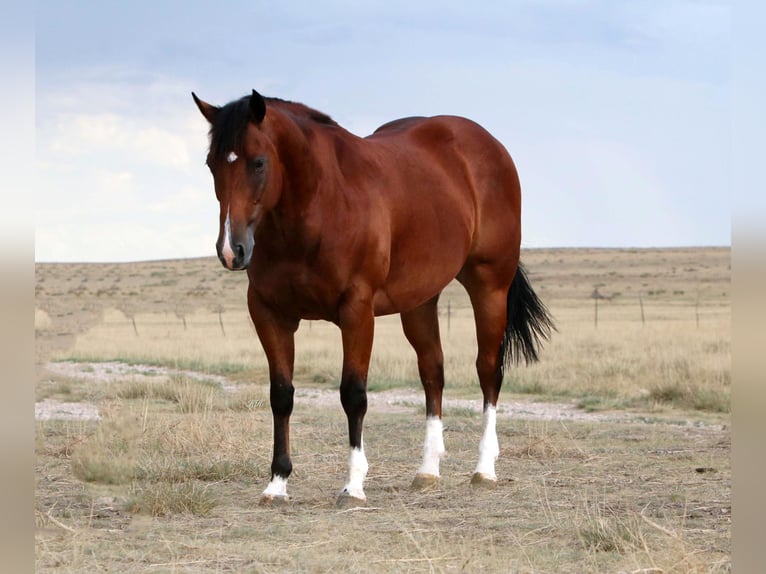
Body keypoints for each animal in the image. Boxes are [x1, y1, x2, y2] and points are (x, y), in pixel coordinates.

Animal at [191, 90, 552, 508]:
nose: (231, 250)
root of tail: (489, 146)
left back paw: (484, 469)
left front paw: (353, 485)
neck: (320, 208)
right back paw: (427, 470)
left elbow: (353, 394)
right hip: (419, 301)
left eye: (259, 162)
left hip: (489, 285)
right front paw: (277, 483)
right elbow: (281, 395)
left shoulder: (357, 312)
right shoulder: (269, 313)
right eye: (212, 163)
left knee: (488, 371)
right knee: (433, 372)